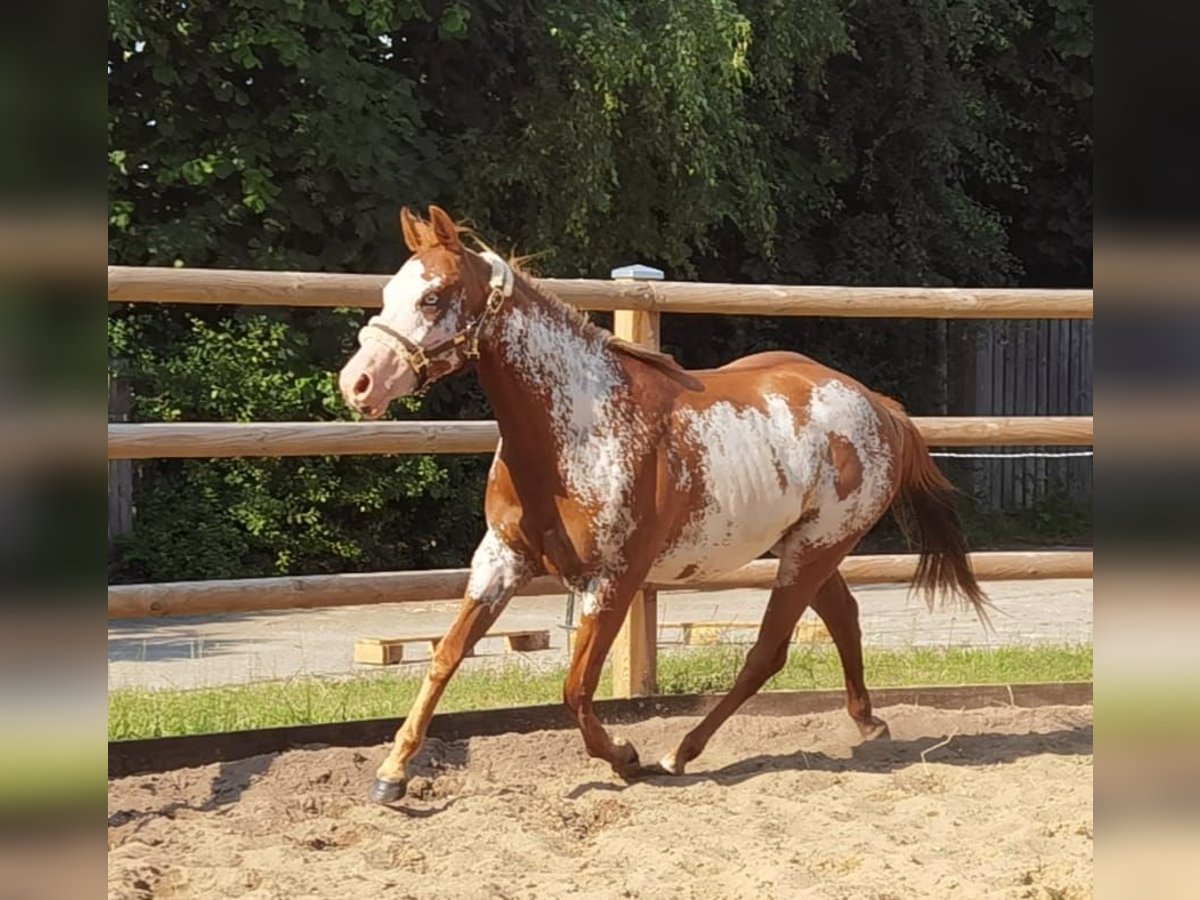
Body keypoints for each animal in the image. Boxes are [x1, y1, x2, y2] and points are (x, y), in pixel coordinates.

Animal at [338, 206, 984, 801]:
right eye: (389, 292)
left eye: (433, 297)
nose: (358, 383)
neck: (578, 432)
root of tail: (878, 406)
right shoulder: (502, 559)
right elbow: (446, 656)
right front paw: (391, 774)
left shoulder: (615, 579)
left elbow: (575, 689)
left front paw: (626, 758)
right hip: (804, 549)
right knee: (843, 618)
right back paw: (868, 723)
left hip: (816, 550)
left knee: (766, 653)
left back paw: (680, 753)